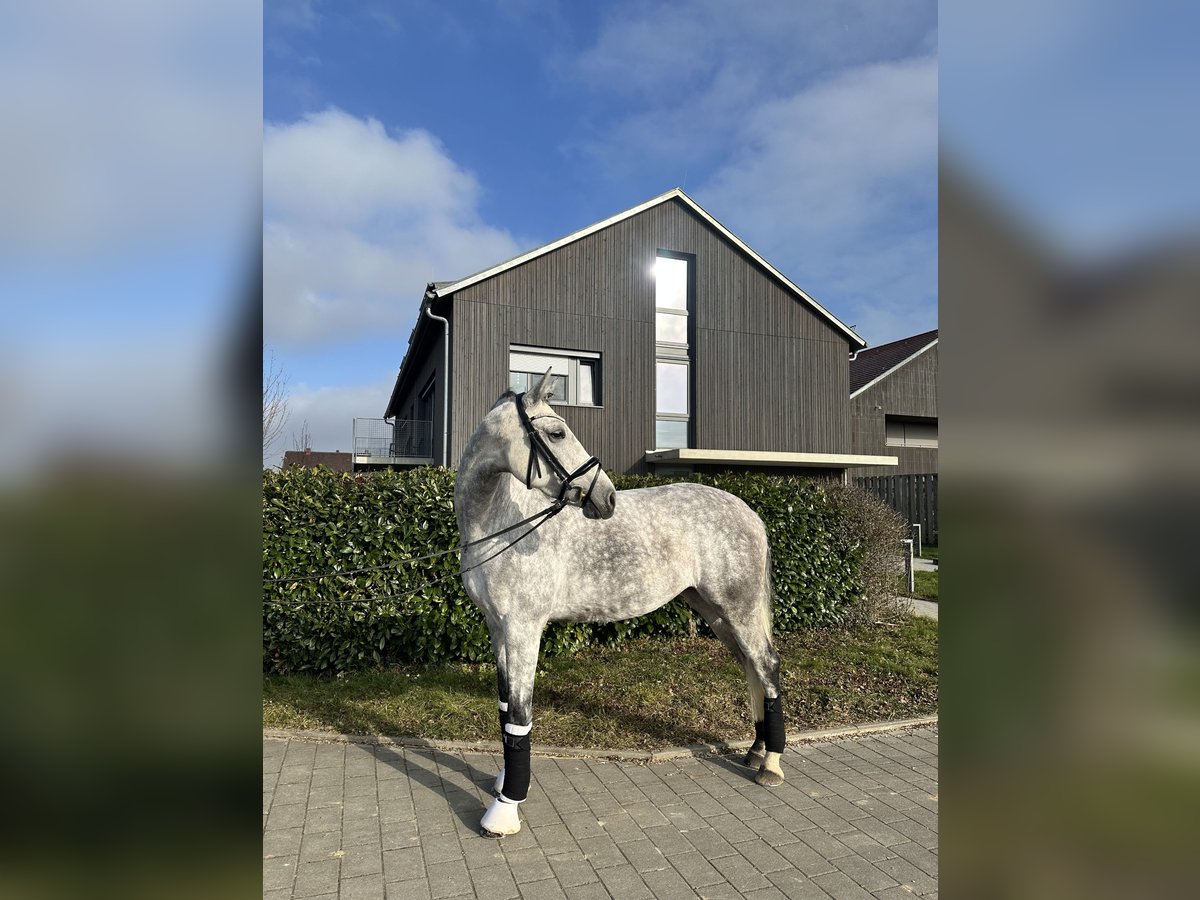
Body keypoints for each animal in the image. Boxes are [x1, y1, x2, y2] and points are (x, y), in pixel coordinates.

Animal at [453, 372, 782, 840]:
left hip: (739, 608)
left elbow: (519, 713)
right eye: (557, 433)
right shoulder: (498, 629)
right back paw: (755, 751)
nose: (606, 498)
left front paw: (505, 808)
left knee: (766, 665)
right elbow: (504, 709)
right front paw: (503, 783)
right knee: (751, 666)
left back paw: (770, 764)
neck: (500, 522)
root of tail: (751, 514)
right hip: (716, 612)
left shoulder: (522, 628)